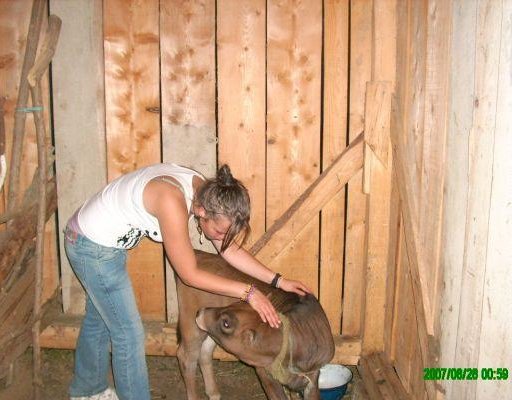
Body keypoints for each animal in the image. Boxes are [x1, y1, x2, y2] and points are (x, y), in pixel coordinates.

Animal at [176, 250, 336, 400]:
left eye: (226, 323)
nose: (201, 311)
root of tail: (199, 253)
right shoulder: (263, 372)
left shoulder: (313, 376)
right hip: (191, 325)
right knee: (186, 357)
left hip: (208, 331)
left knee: (205, 353)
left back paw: (214, 393)